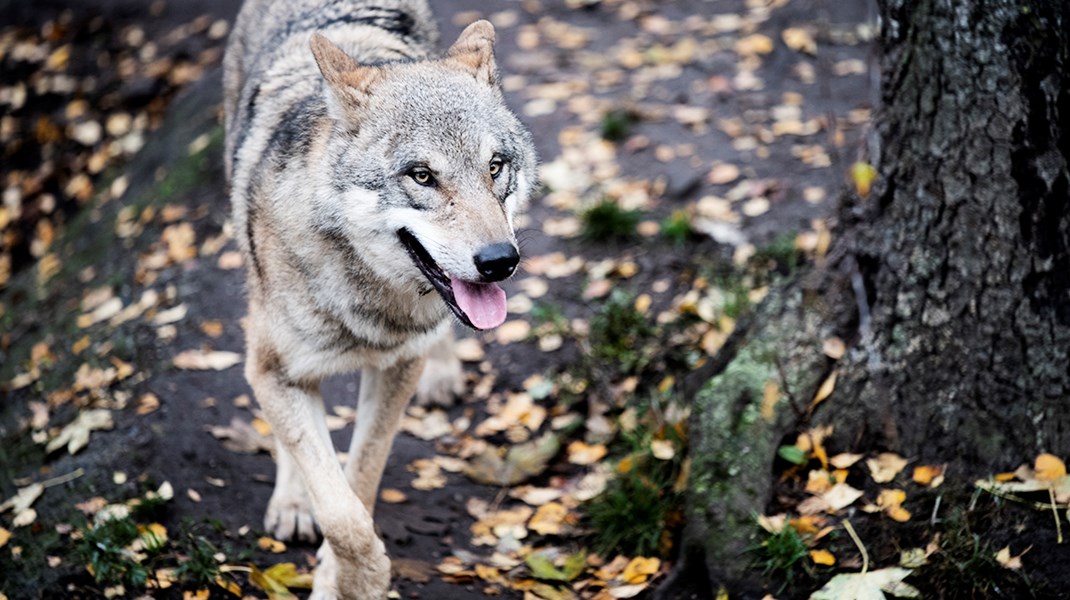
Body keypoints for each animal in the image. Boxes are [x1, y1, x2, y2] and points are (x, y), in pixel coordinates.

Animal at [220, 1, 535, 594]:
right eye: (422, 176)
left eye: (495, 167)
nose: (499, 261)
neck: (367, 295)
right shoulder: (271, 368)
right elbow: (338, 508)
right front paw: (361, 576)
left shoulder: (396, 367)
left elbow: (360, 480)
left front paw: (340, 581)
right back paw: (292, 500)